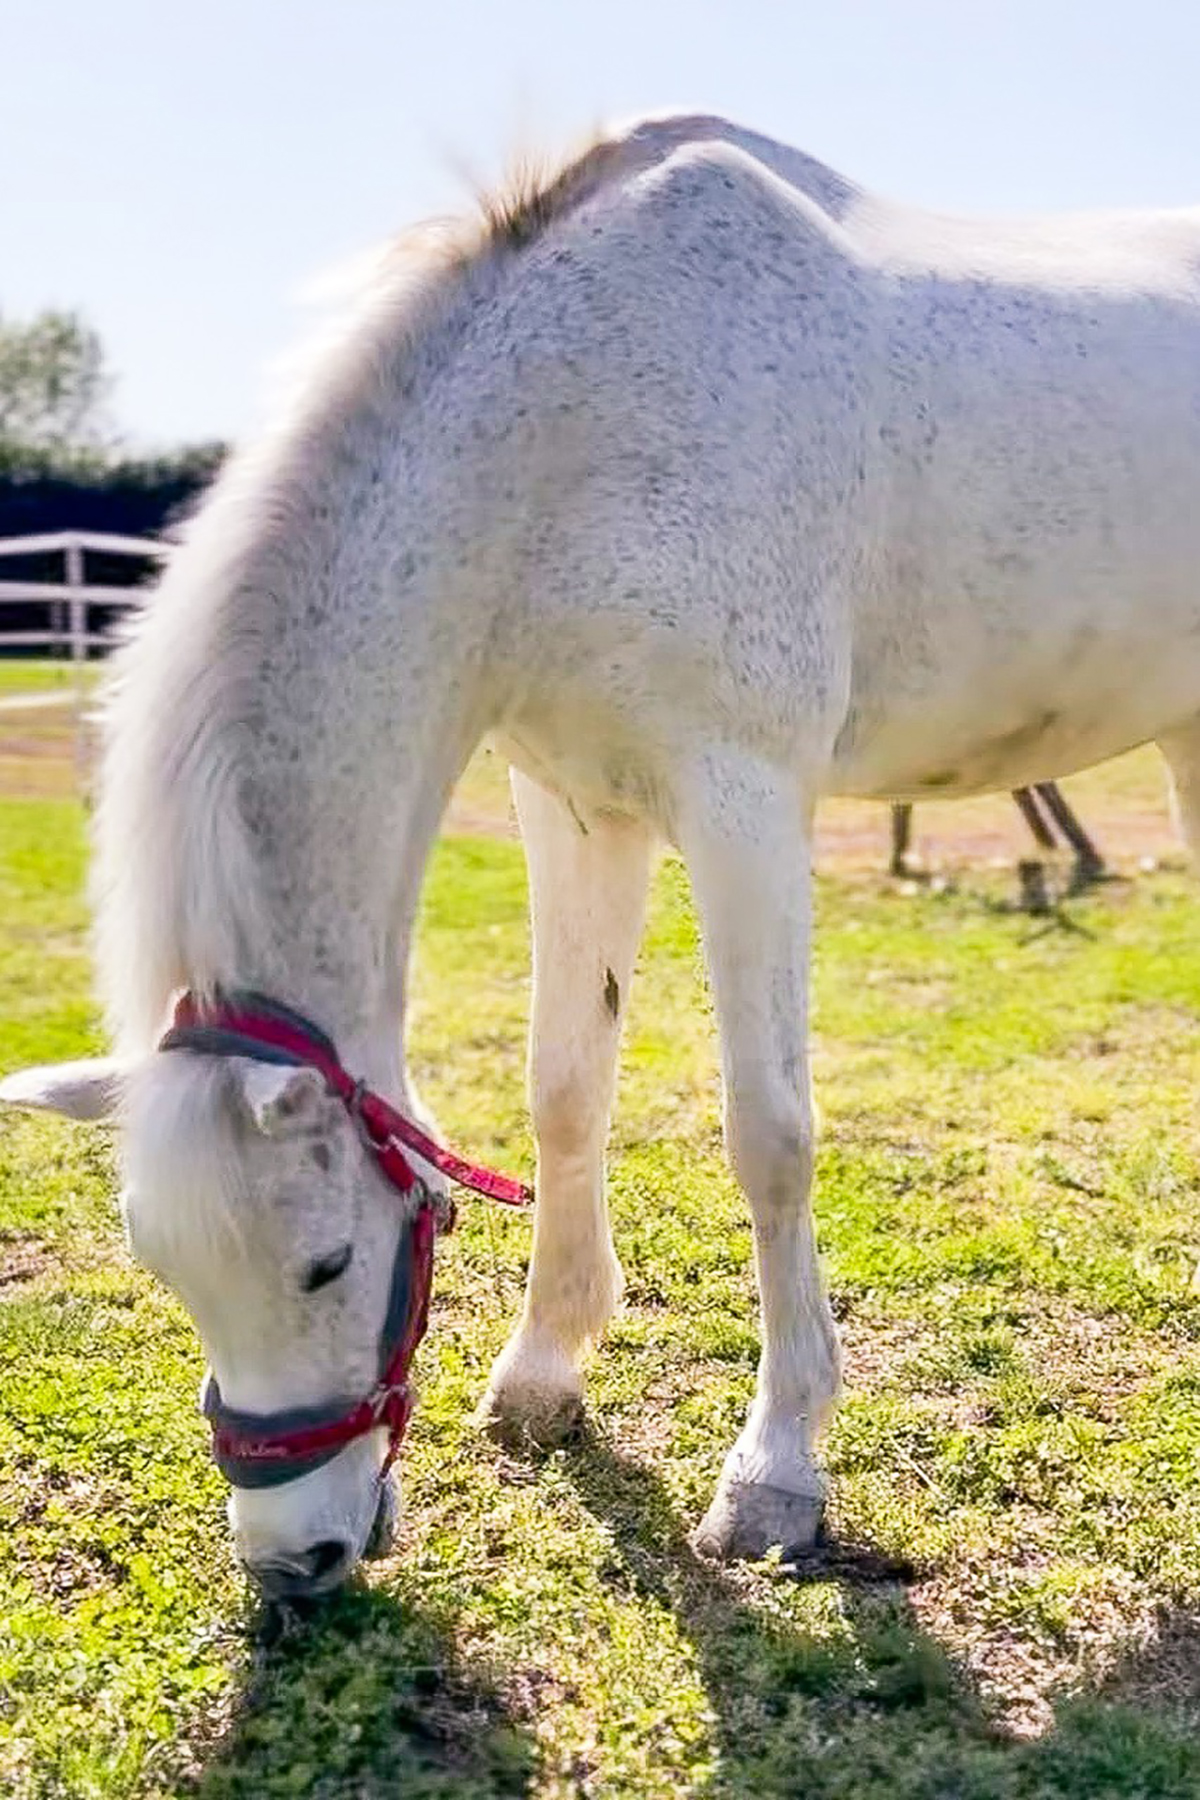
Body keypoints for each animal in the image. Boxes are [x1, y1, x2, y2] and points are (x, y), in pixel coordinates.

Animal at [3, 110, 1200, 1598]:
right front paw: (542, 1375)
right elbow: (565, 1087)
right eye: (162, 1267)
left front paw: (776, 1472)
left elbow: (771, 1133)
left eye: (328, 1265)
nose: (294, 1562)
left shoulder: (745, 804)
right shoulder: (576, 806)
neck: (576, 427)